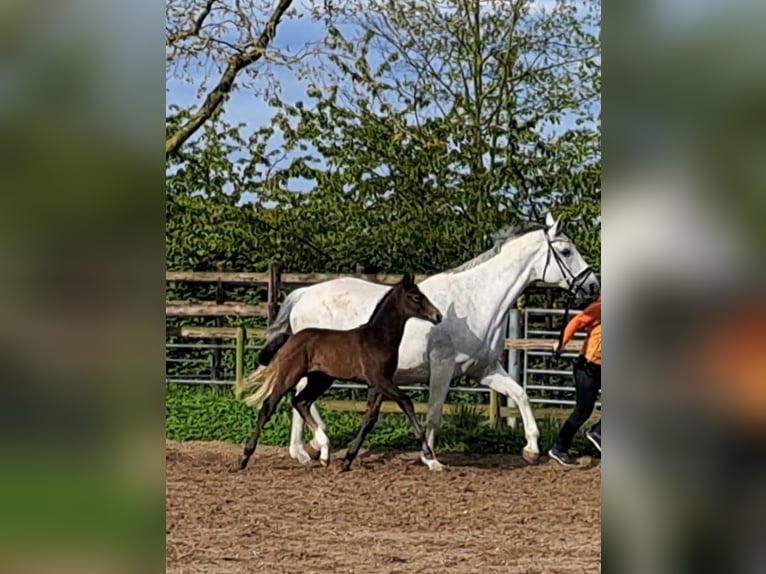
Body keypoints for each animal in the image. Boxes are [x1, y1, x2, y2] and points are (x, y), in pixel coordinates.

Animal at [234, 274, 444, 472]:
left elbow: (370, 418)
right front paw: (428, 455)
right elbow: (406, 402)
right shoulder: (380, 379)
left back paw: (324, 454)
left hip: (320, 380)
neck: (378, 337)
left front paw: (348, 459)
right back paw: (245, 457)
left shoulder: (378, 384)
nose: (438, 315)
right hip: (290, 375)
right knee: (269, 406)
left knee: (300, 402)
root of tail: (290, 337)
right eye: (416, 297)